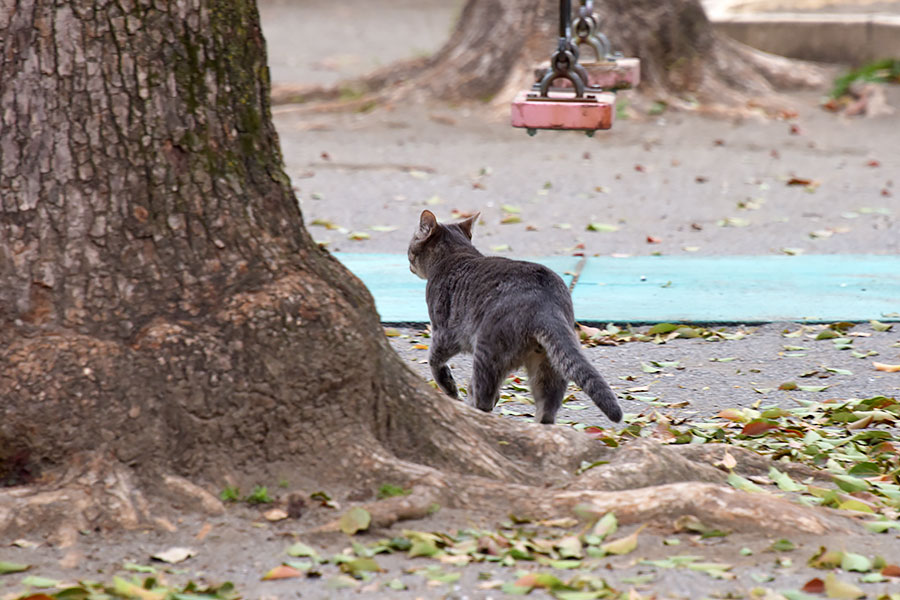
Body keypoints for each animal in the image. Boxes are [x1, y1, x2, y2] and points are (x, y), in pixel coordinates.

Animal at [410, 209, 624, 424]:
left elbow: (435, 363)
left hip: (487, 354)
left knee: (483, 400)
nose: (410, 265)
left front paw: (451, 390)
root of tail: (545, 304)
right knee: (546, 411)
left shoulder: (444, 333)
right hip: (549, 367)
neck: (455, 254)